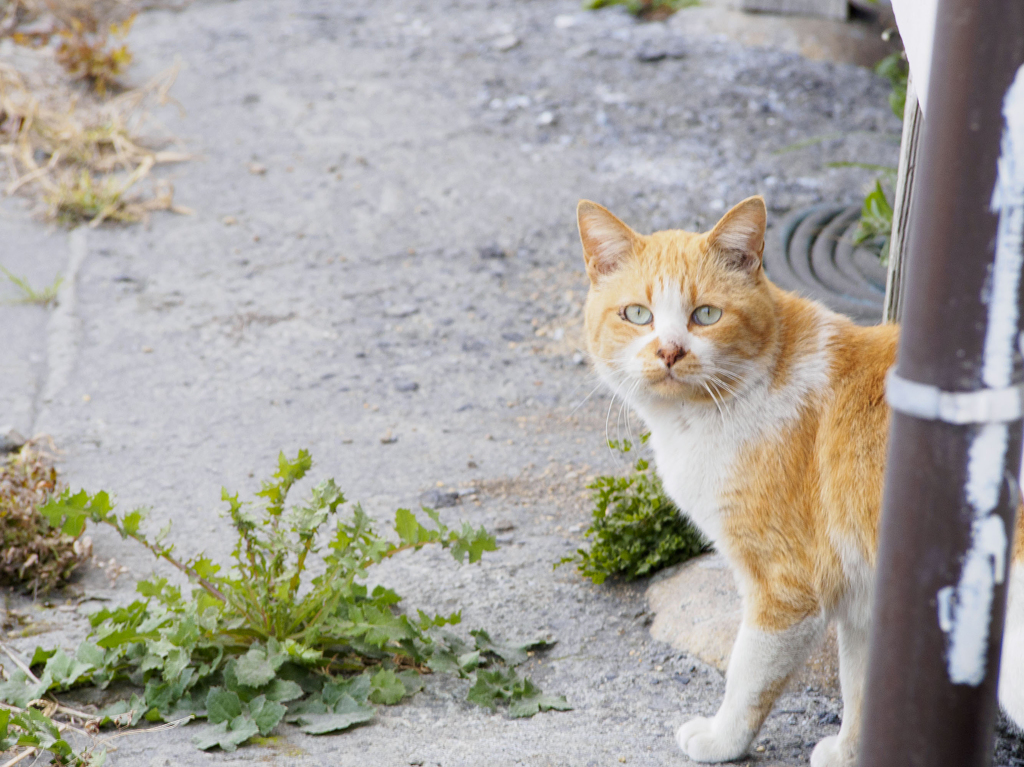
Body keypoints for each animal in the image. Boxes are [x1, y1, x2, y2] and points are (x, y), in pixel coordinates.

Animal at [577, 197, 1024, 765]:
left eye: (706, 315)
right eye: (638, 314)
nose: (670, 352)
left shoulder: (785, 586)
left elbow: (748, 675)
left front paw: (721, 739)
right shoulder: (865, 592)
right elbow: (861, 682)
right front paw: (853, 752)